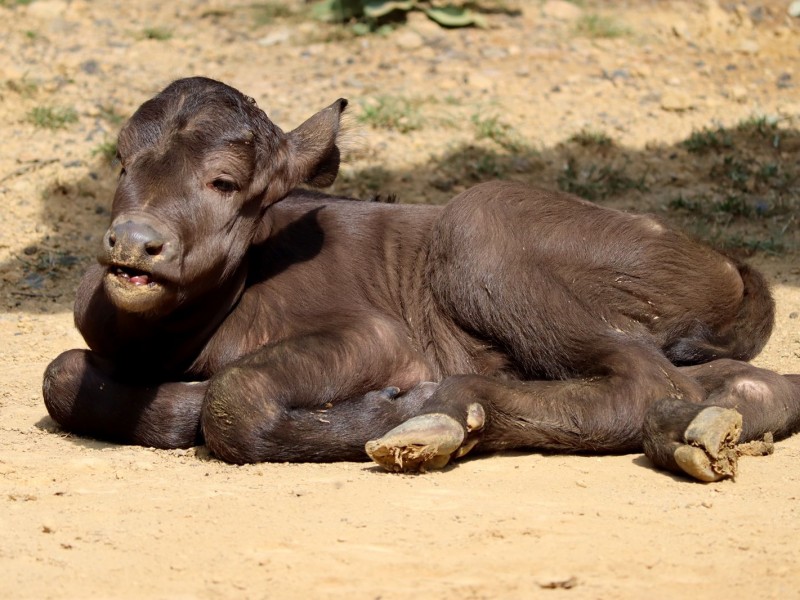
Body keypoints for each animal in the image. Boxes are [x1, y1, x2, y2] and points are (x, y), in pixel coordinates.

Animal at [42, 77, 800, 482]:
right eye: (121, 164)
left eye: (224, 182)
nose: (133, 242)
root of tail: (725, 262)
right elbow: (61, 378)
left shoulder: (380, 337)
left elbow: (233, 399)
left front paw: (386, 409)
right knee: (754, 383)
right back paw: (697, 435)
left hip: (481, 227)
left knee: (641, 380)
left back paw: (443, 413)